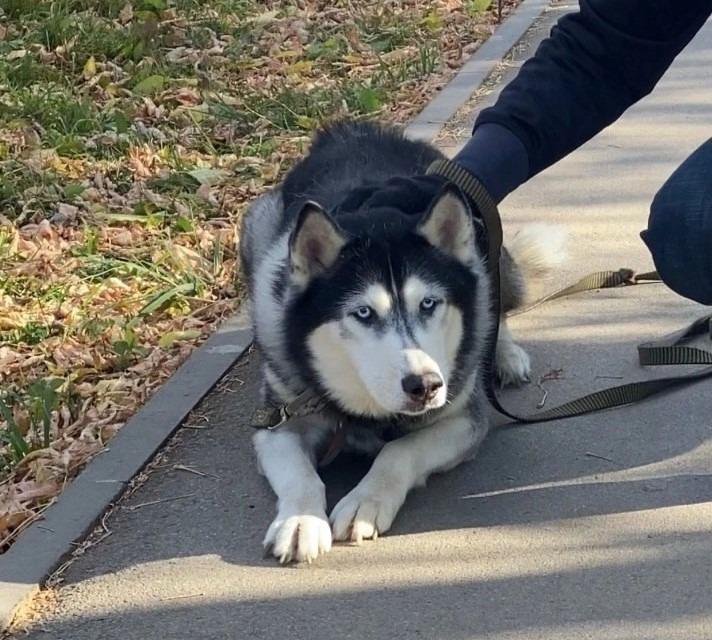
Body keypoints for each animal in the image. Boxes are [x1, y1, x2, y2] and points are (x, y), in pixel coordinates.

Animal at [242, 120, 564, 560]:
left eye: (429, 303)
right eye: (363, 313)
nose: (425, 385)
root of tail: (353, 130)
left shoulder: (462, 418)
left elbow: (399, 450)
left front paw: (366, 499)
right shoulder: (277, 424)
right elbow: (299, 475)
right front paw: (300, 521)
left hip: (484, 250)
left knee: (491, 301)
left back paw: (503, 353)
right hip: (257, 223)